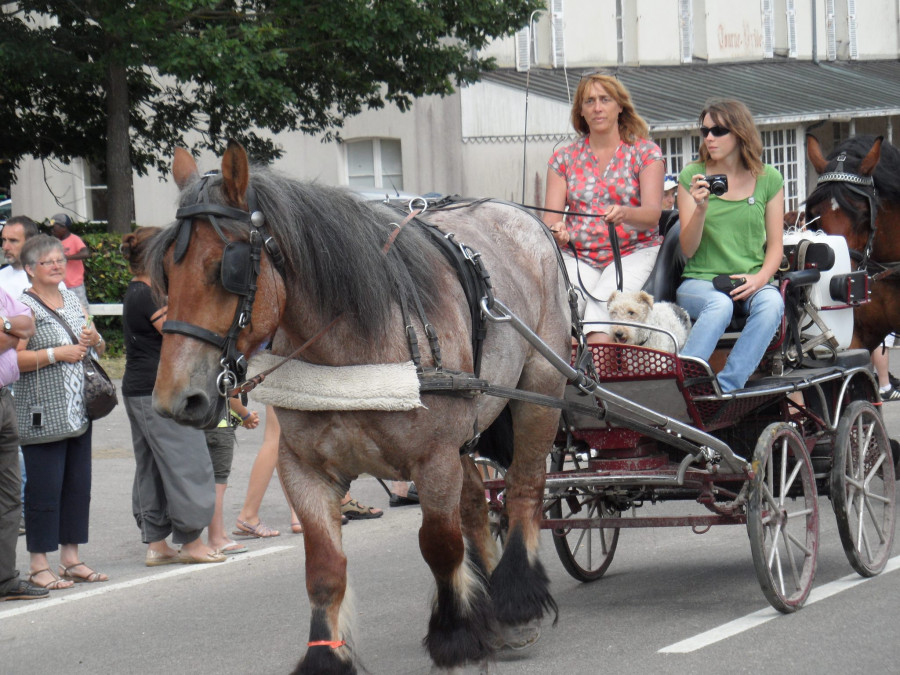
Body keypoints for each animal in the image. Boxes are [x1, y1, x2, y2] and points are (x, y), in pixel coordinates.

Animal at [148, 141, 568, 672]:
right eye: (165, 271)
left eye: (226, 268)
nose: (176, 399)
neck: (351, 342)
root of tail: (520, 215)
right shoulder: (303, 468)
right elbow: (325, 569)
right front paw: (325, 657)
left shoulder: (433, 460)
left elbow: (439, 544)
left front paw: (454, 634)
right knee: (476, 504)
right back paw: (490, 602)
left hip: (540, 394)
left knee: (523, 490)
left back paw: (513, 602)